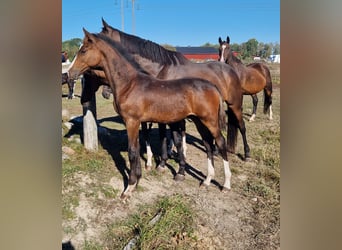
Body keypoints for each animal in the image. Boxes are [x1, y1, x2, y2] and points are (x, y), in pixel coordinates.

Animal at [68, 29, 231, 198]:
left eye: (83, 50)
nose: (69, 73)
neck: (129, 84)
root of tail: (213, 87)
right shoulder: (137, 122)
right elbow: (138, 147)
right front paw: (138, 179)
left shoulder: (132, 121)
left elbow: (132, 152)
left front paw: (129, 187)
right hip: (199, 121)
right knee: (208, 144)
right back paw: (207, 180)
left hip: (210, 121)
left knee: (220, 143)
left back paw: (226, 184)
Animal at [100, 19, 250, 160]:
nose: (105, 93)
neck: (162, 69)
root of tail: (230, 69)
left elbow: (165, 135)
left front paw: (165, 159)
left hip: (235, 104)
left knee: (241, 126)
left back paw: (246, 153)